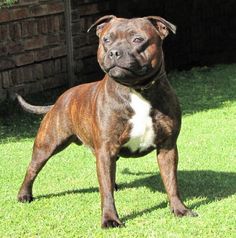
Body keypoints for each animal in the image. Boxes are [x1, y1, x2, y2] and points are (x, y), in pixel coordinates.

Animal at [17, 15, 197, 228]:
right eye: (106, 39)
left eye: (138, 39)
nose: (114, 52)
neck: (136, 90)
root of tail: (60, 99)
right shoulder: (106, 149)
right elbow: (106, 191)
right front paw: (110, 219)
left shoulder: (167, 147)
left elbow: (171, 182)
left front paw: (180, 209)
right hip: (47, 145)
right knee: (32, 169)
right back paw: (24, 195)